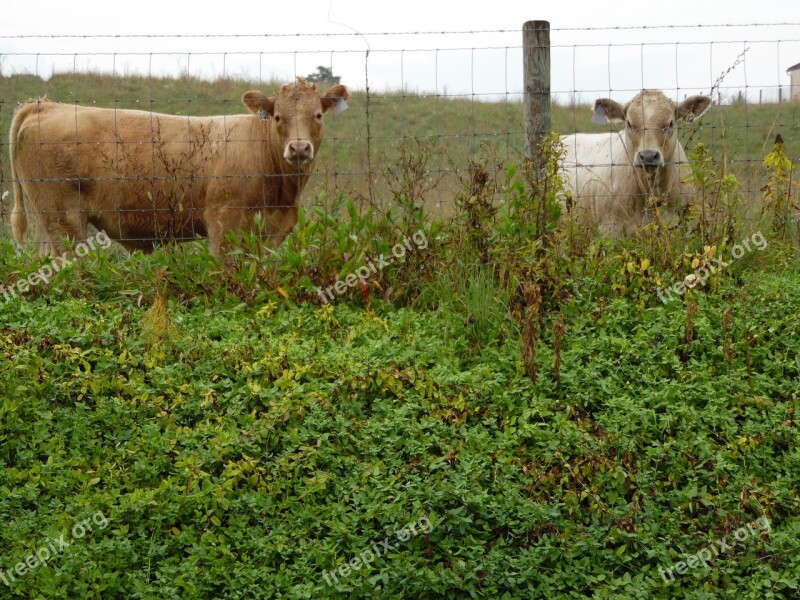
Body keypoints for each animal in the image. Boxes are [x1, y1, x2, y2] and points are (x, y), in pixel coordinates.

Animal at [7, 78, 348, 256]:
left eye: (318, 115)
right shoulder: (224, 220)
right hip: (63, 219)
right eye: (278, 117)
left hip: (48, 222)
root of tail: (46, 106)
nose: (299, 148)